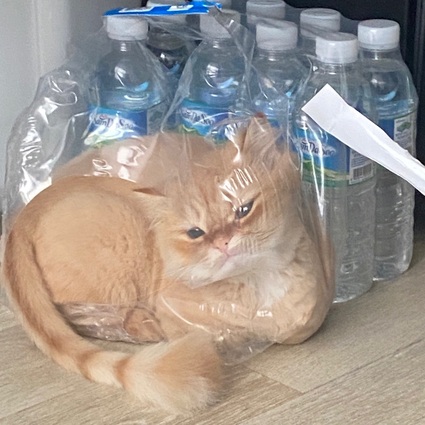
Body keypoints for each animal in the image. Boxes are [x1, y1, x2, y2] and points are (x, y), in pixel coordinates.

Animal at [2, 116, 334, 412]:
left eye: (244, 210)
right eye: (195, 232)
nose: (223, 242)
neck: (257, 288)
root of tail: (23, 216)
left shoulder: (307, 316)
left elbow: (294, 332)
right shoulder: (180, 316)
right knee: (85, 315)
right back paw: (142, 325)